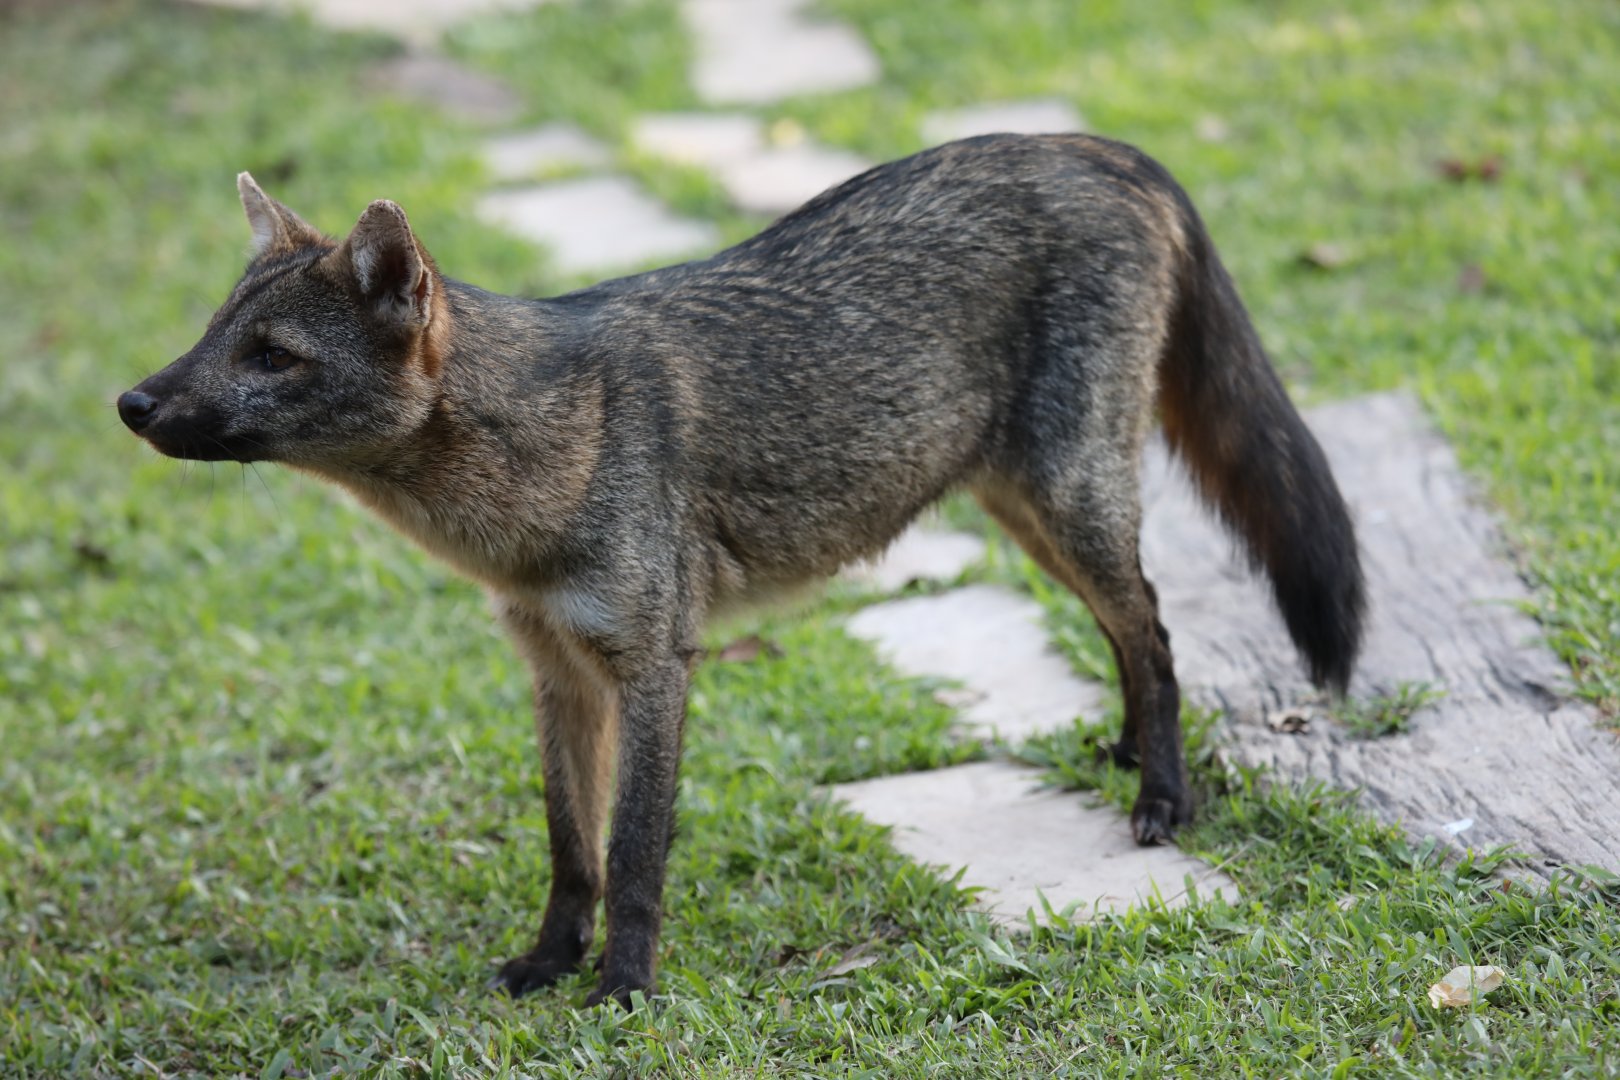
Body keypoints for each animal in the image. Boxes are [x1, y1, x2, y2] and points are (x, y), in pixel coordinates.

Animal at [119, 134, 1364, 1008]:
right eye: (213, 331)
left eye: (272, 356)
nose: (130, 403)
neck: (542, 458)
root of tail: (1088, 143)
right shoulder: (555, 669)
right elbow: (570, 850)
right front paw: (548, 964)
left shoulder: (657, 662)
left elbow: (633, 853)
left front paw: (624, 991)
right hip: (1030, 516)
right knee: (1128, 631)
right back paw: (1119, 751)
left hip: (1073, 505)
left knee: (1155, 630)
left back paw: (1162, 793)